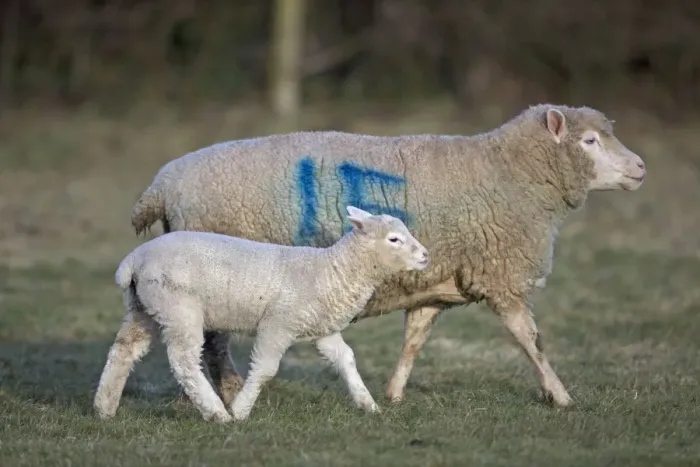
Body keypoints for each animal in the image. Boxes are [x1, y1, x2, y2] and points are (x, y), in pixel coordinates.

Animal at [94, 206, 429, 422]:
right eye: (394, 239)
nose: (426, 256)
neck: (330, 270)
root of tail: (134, 260)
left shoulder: (322, 329)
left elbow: (345, 359)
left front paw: (367, 404)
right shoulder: (278, 324)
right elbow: (266, 369)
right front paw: (241, 410)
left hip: (145, 308)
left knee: (124, 350)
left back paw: (104, 408)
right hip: (178, 308)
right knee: (184, 361)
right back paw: (217, 413)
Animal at [129, 103, 647, 408]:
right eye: (589, 142)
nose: (642, 168)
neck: (509, 173)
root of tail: (161, 186)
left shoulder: (435, 281)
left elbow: (414, 339)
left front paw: (394, 394)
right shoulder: (501, 273)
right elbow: (530, 340)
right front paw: (559, 395)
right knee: (214, 342)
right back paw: (232, 391)